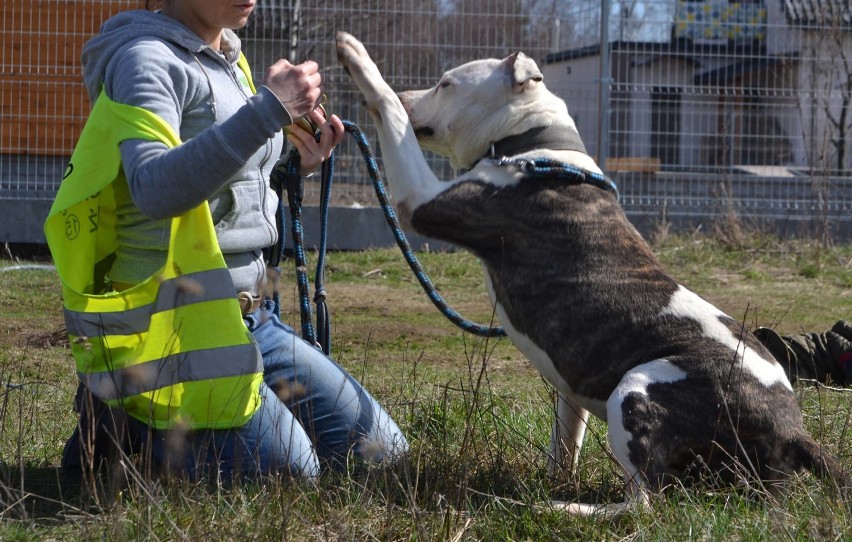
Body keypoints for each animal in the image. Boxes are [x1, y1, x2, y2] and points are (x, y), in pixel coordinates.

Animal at [332, 31, 844, 516]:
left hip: (637, 388)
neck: (536, 145)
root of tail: (794, 430)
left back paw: (561, 509)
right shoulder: (571, 384)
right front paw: (556, 478)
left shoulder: (420, 200)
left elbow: (390, 117)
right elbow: (565, 443)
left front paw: (357, 59)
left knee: (644, 504)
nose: (410, 92)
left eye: (446, 83)